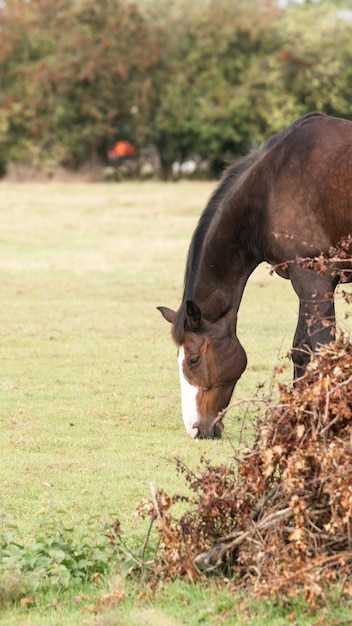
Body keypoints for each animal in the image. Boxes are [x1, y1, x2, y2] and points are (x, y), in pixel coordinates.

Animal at [159, 114, 352, 438]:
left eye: (194, 359)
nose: (195, 430)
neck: (270, 185)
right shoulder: (306, 280)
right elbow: (301, 350)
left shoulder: (314, 278)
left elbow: (320, 348)